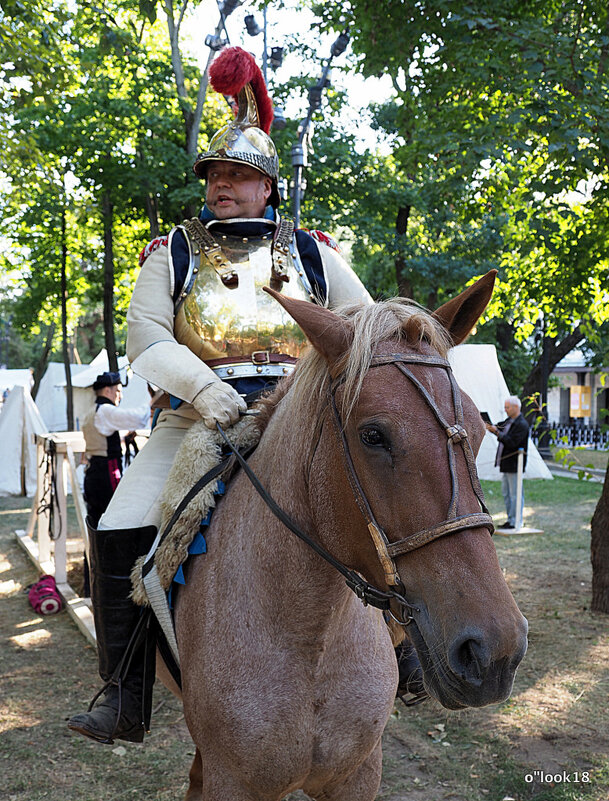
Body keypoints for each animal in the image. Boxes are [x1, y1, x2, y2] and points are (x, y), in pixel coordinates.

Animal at [166, 270, 528, 800]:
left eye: (481, 435)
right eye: (372, 435)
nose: (495, 651)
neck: (309, 641)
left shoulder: (356, 775)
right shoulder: (233, 783)